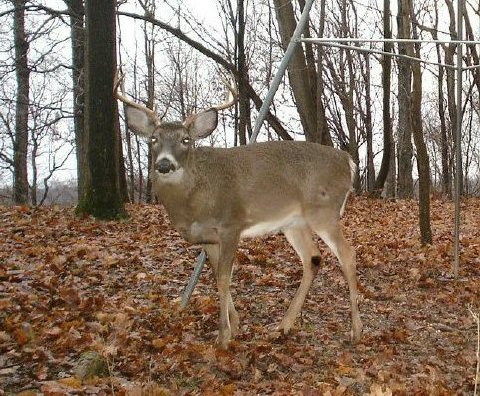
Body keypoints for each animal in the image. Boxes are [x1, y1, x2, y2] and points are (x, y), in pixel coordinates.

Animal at [118, 82, 362, 348]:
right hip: (294, 223)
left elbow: (225, 277)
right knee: (313, 258)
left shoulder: (231, 224)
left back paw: (355, 330)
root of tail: (348, 161)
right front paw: (234, 325)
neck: (194, 200)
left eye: (185, 140)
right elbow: (217, 275)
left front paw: (223, 336)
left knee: (348, 254)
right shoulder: (208, 238)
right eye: (154, 139)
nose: (164, 164)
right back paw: (284, 325)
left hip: (324, 211)